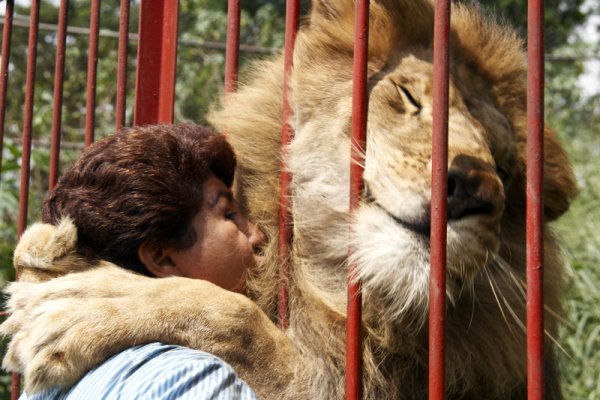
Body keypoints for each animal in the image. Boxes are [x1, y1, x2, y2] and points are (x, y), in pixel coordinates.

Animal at [0, 0, 576, 400]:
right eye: (410, 97)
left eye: (506, 170)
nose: (478, 186)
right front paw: (46, 249)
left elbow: (233, 315)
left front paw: (83, 303)